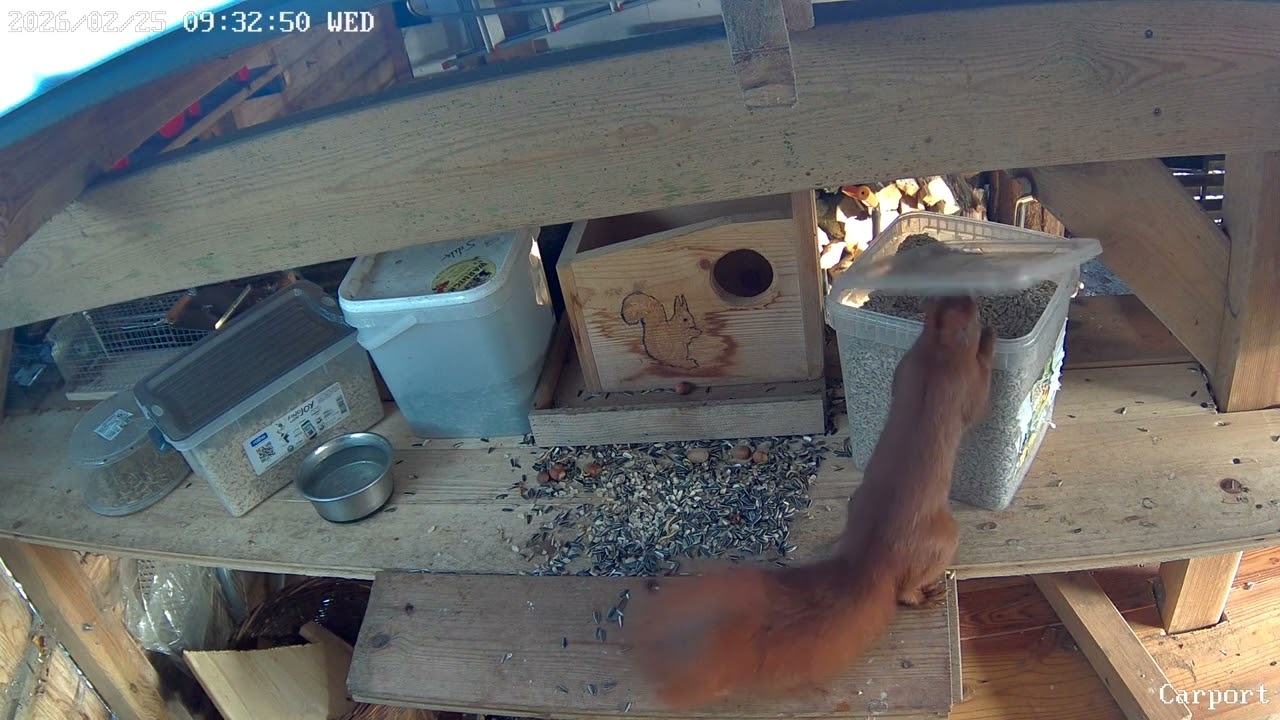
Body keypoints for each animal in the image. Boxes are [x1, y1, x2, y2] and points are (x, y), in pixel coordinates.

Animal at [625, 296, 995, 708]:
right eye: (970, 311)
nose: (976, 303)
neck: (935, 354)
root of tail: (869, 558)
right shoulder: (964, 385)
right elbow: (980, 398)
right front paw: (992, 341)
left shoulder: (907, 367)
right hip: (944, 538)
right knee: (905, 592)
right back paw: (928, 594)